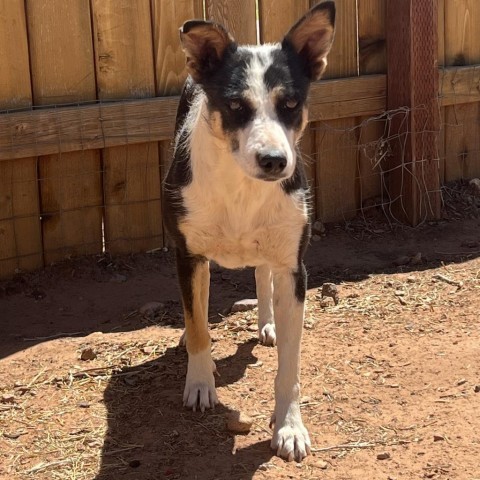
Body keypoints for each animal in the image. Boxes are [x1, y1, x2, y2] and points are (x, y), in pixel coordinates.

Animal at [163, 1, 336, 464]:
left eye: (290, 103)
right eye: (236, 106)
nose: (275, 160)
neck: (241, 188)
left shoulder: (295, 267)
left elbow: (290, 366)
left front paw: (290, 427)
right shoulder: (188, 253)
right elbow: (199, 321)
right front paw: (200, 383)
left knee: (261, 273)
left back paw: (267, 323)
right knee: (200, 298)